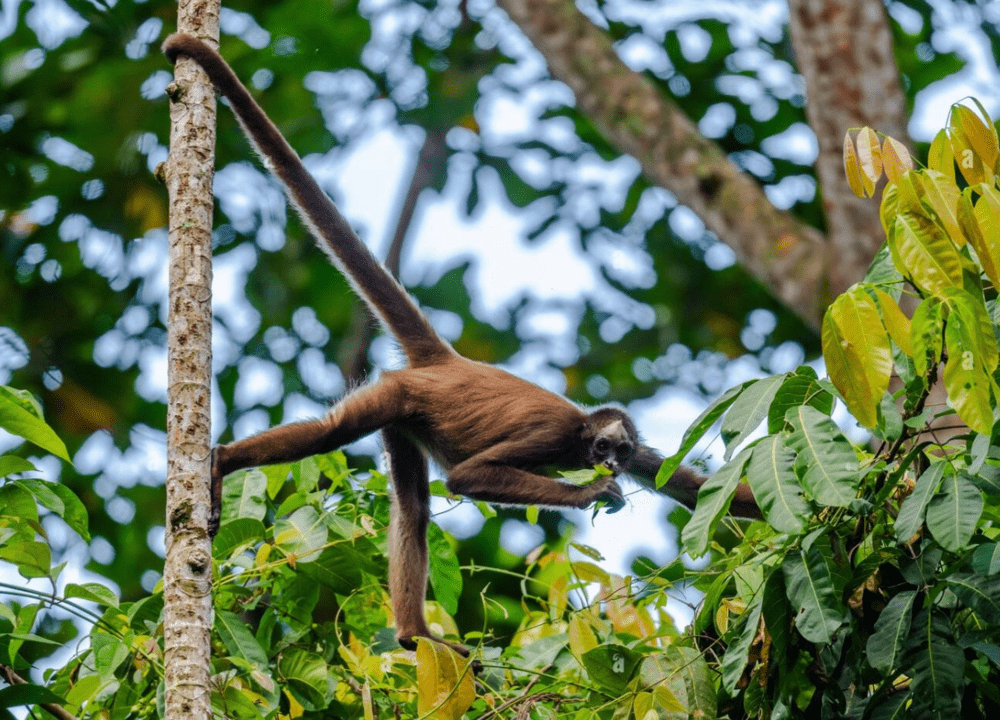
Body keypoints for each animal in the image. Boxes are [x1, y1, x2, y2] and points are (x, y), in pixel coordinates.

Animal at [162, 35, 756, 660]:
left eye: (623, 450)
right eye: (604, 450)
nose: (611, 461)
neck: (581, 435)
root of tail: (446, 361)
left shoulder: (642, 454)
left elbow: (704, 493)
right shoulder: (555, 436)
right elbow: (468, 477)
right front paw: (593, 491)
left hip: (404, 417)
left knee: (415, 511)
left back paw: (412, 633)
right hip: (396, 394)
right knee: (334, 436)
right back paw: (224, 461)